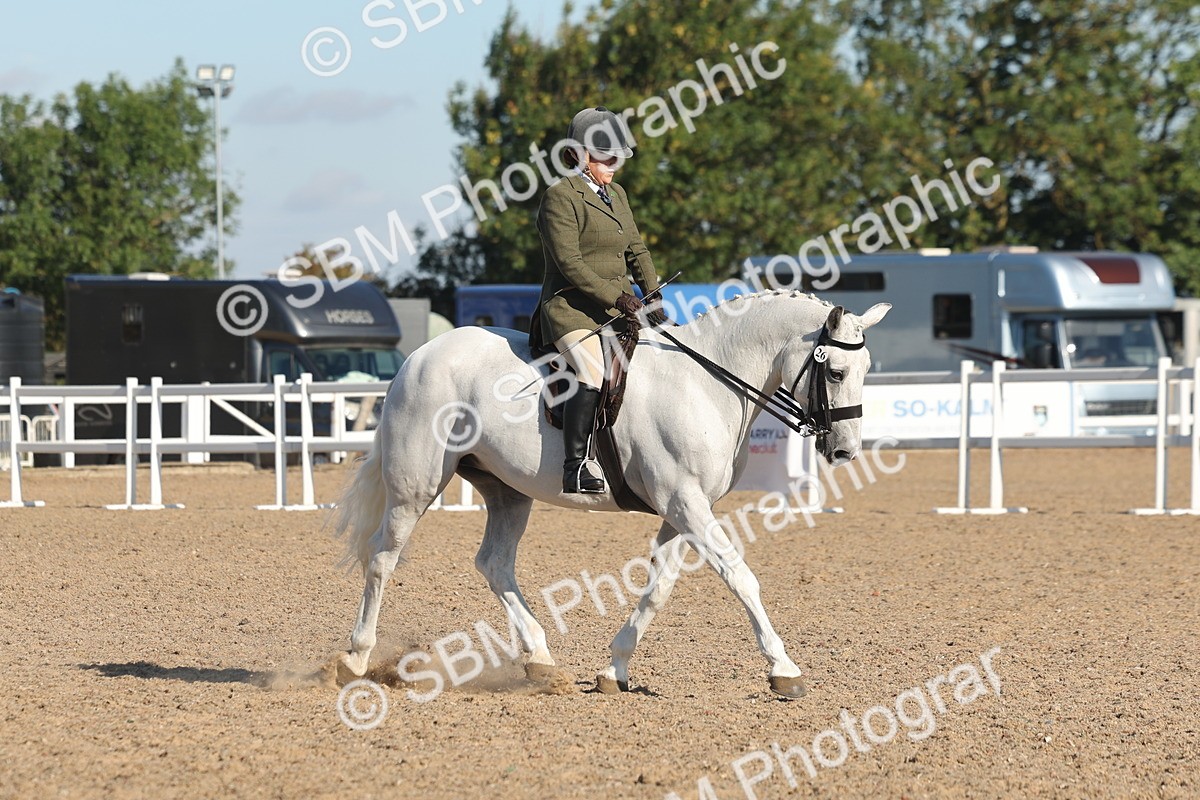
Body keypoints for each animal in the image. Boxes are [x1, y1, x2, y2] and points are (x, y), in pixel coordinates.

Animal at [333, 290, 890, 698]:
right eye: (836, 371)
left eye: (867, 372)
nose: (844, 450)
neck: (706, 383)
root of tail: (418, 357)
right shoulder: (685, 503)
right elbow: (740, 576)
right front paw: (784, 669)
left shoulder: (683, 508)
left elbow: (659, 588)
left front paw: (614, 670)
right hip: (416, 486)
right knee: (383, 558)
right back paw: (356, 659)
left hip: (507, 491)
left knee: (493, 563)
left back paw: (541, 661)